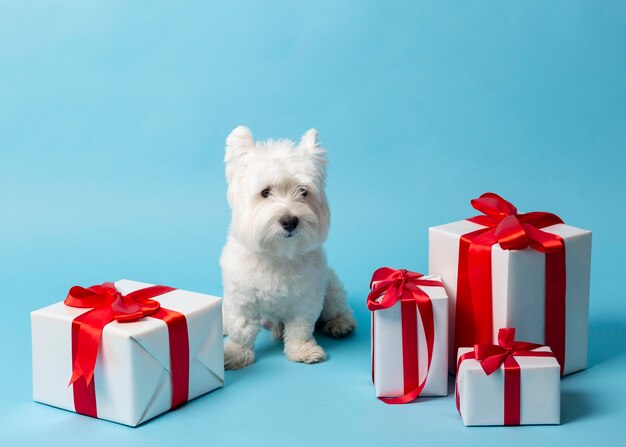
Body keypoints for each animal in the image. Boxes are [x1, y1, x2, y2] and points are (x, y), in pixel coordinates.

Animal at [221, 127, 356, 372]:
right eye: (265, 192)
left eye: (303, 192)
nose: (290, 221)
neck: (278, 254)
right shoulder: (242, 298)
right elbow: (241, 329)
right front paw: (236, 353)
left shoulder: (306, 298)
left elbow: (300, 328)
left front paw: (302, 350)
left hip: (331, 288)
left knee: (338, 306)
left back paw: (340, 323)